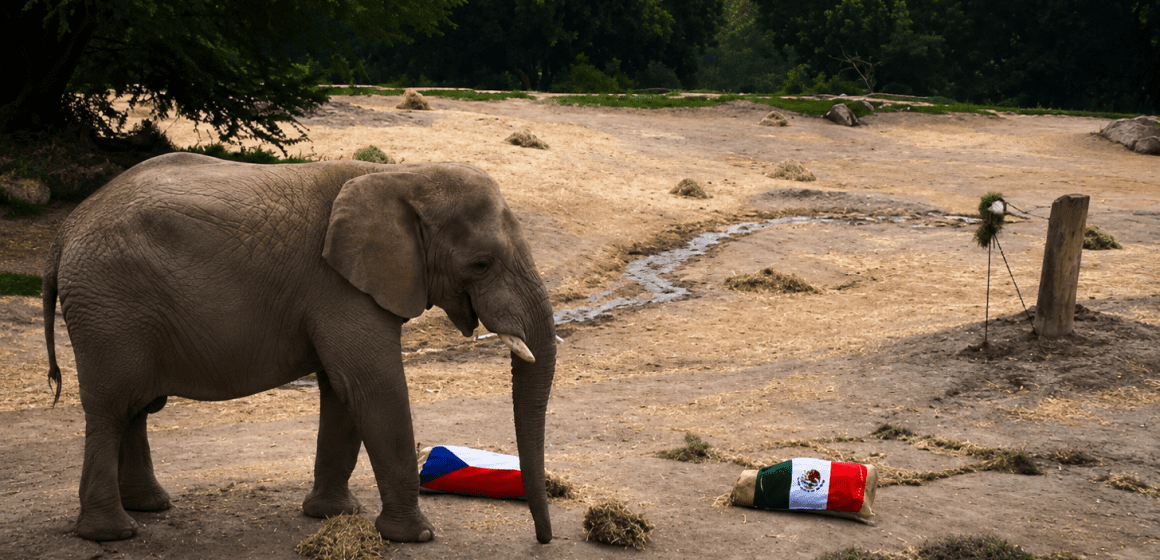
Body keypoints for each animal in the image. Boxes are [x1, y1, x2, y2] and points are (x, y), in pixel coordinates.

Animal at [41, 153, 557, 544]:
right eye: (482, 264)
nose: (543, 539)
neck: (402, 175)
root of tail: (65, 231)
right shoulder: (338, 286)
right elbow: (373, 386)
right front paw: (416, 537)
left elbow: (343, 391)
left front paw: (333, 515)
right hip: (110, 308)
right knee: (112, 408)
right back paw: (112, 533)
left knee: (135, 407)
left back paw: (150, 507)